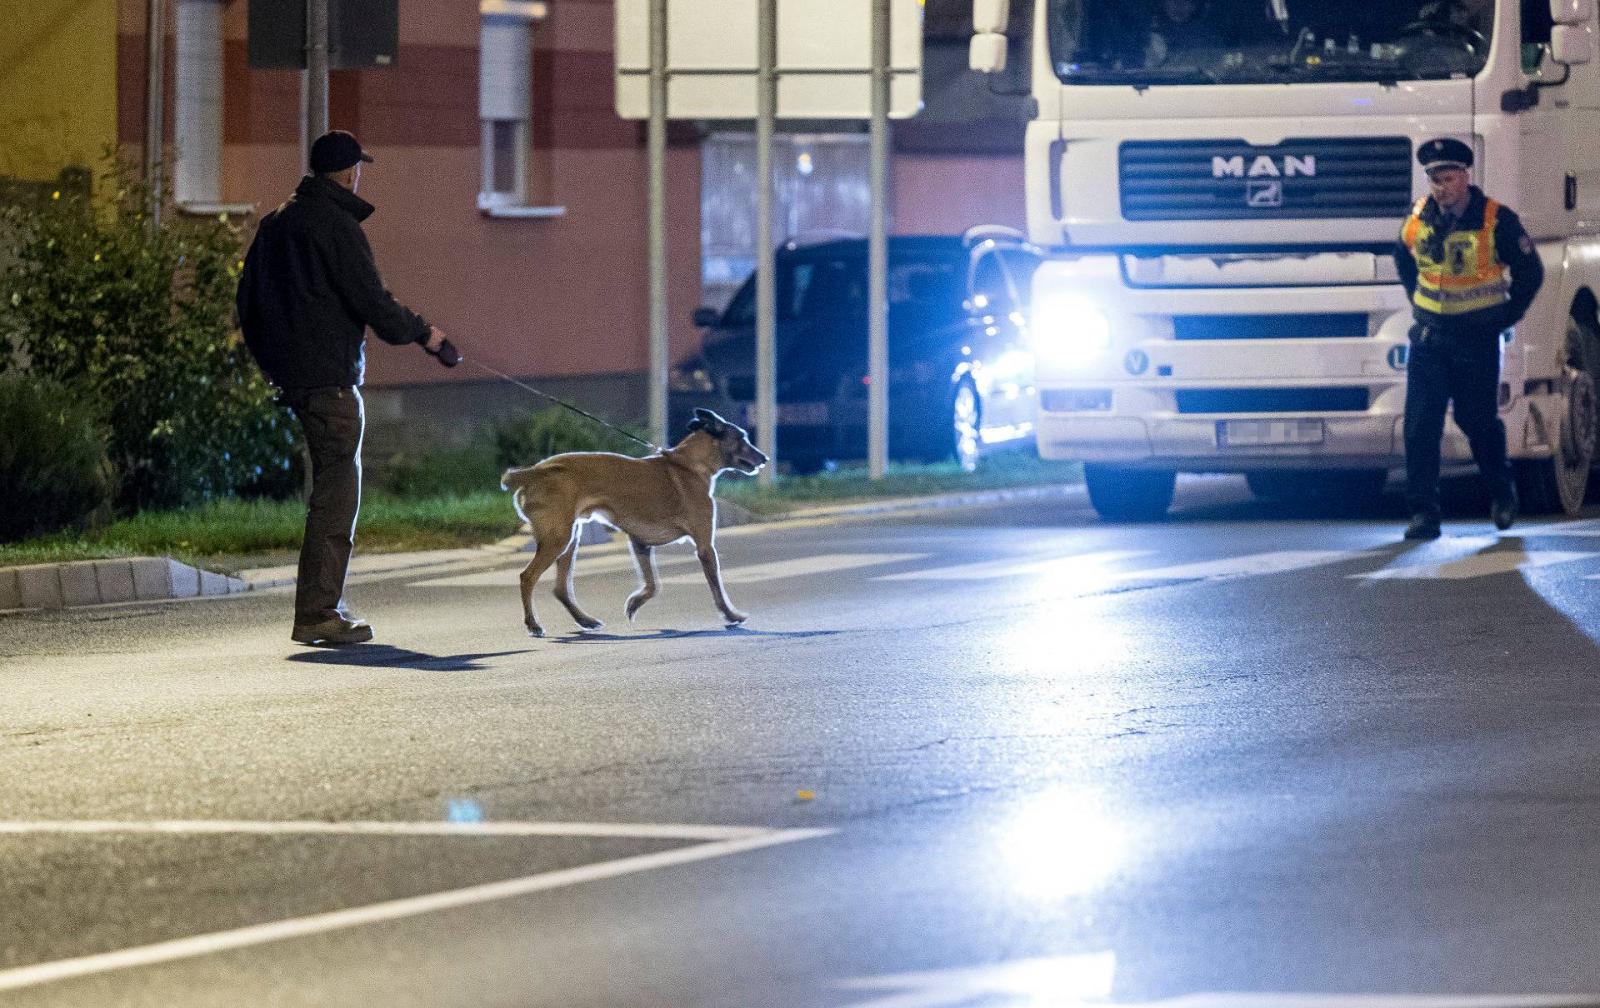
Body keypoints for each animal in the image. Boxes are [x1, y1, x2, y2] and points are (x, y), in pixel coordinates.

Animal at [502, 406, 771, 636]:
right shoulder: (705, 547)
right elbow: (717, 589)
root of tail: (535, 471)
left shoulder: (640, 543)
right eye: (742, 437)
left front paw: (634, 604)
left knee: (560, 588)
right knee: (527, 577)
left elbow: (653, 585)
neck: (689, 465)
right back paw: (533, 624)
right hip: (559, 539)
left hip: (570, 538)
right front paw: (731, 615)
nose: (765, 458)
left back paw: (585, 620)